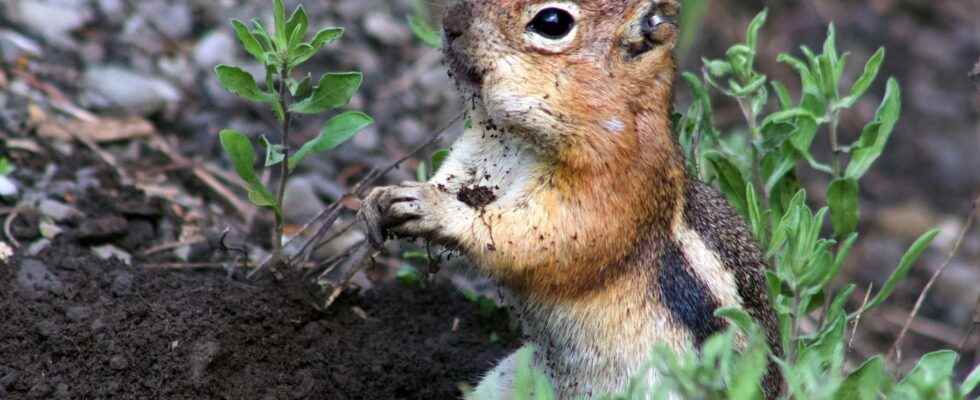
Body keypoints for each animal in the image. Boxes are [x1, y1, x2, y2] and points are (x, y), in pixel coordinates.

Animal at [360, 0, 780, 396]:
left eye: (552, 23)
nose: (451, 24)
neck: (520, 139)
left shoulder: (607, 192)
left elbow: (537, 239)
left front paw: (435, 209)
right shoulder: (477, 151)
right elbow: (452, 176)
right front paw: (380, 199)